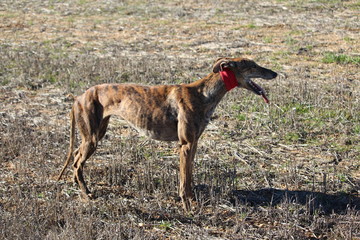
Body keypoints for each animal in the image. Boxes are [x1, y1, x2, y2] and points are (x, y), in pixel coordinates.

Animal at [57, 57, 278, 211]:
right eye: (251, 65)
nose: (275, 73)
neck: (203, 93)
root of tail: (79, 97)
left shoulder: (193, 144)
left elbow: (189, 178)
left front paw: (193, 202)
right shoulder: (185, 145)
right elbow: (183, 181)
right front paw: (187, 208)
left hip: (94, 134)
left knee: (76, 157)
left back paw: (76, 184)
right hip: (92, 138)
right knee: (77, 162)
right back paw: (86, 194)